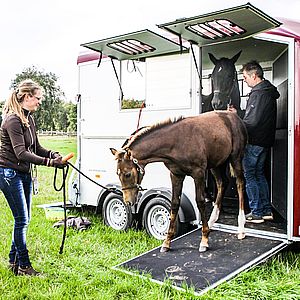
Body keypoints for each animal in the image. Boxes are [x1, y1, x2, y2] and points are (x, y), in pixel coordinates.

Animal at [110, 111, 246, 252]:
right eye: (117, 173)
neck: (176, 143)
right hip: (217, 163)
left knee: (240, 183)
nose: (128, 201)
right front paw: (167, 242)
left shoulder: (198, 173)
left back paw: (241, 228)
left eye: (127, 174)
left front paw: (204, 240)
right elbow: (174, 203)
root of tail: (234, 116)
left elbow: (200, 202)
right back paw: (212, 221)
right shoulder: (176, 175)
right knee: (222, 183)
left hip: (235, 158)